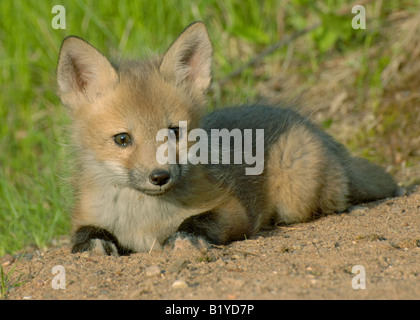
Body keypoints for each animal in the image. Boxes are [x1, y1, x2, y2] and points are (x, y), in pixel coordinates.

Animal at [57, 21, 398, 255]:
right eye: (122, 139)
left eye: (174, 131)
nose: (160, 176)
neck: (143, 217)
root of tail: (304, 121)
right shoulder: (84, 217)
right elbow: (84, 235)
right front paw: (94, 246)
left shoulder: (233, 207)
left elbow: (199, 222)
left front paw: (184, 238)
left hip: (296, 197)